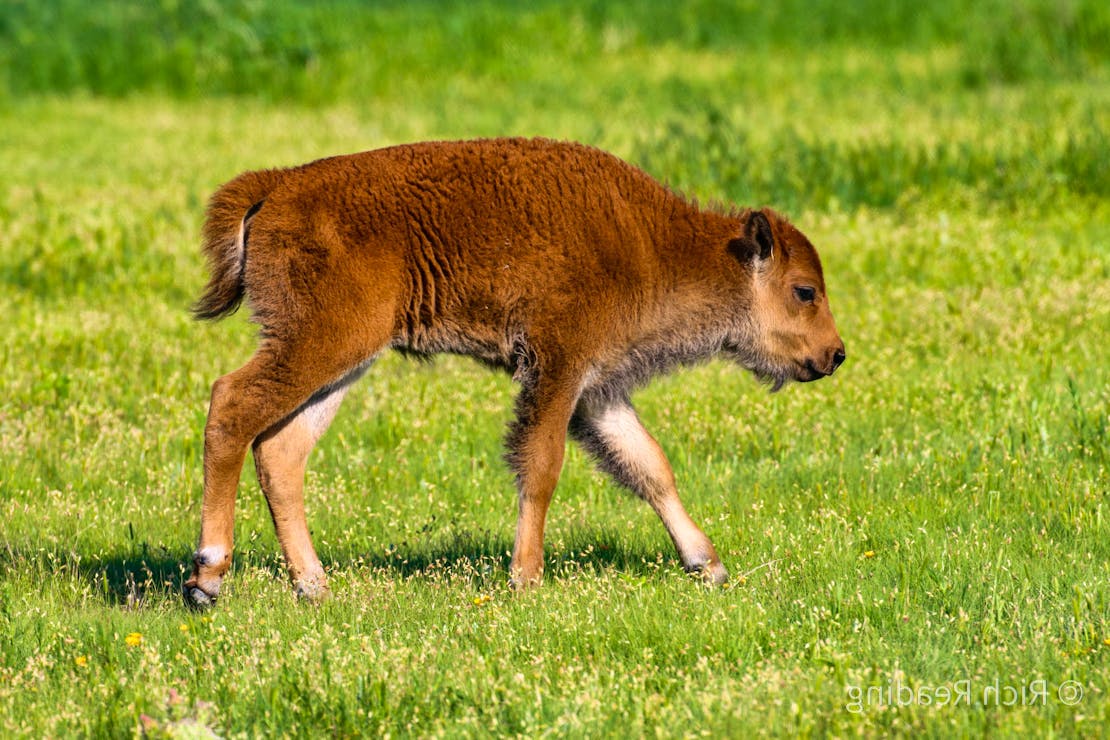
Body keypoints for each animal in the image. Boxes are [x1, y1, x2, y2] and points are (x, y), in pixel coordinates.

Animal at [182, 138, 843, 607]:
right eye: (804, 291)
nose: (835, 354)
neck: (654, 246)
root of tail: (277, 185)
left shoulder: (597, 389)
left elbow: (649, 466)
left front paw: (708, 565)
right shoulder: (558, 367)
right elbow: (542, 465)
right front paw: (526, 578)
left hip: (342, 363)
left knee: (281, 451)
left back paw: (315, 587)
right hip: (316, 344)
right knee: (232, 407)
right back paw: (207, 578)